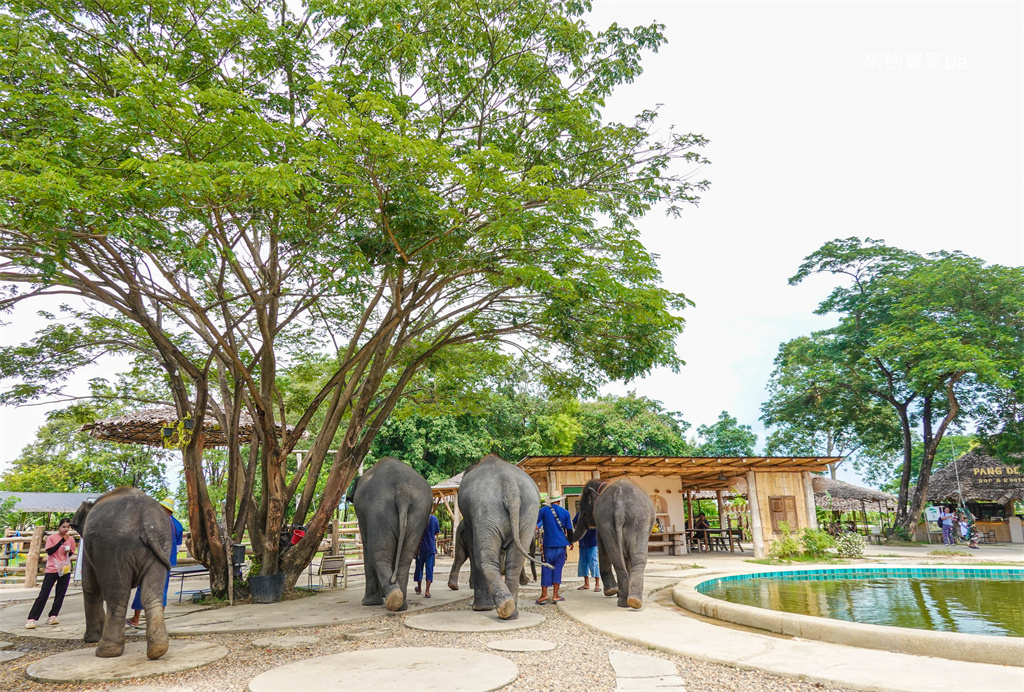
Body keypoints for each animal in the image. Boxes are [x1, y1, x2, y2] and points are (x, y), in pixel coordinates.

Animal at [70, 487, 172, 659]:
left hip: (113, 549)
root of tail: (146, 520)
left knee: (118, 597)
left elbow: (90, 586)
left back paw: (106, 652)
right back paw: (157, 650)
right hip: (162, 542)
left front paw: (91, 639)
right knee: (151, 595)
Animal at [352, 457, 432, 612]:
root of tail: (402, 488)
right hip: (420, 510)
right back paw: (399, 602)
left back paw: (393, 598)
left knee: (379, 555)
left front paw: (369, 603)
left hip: (379, 510)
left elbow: (366, 545)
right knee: (405, 558)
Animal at [447, 454, 546, 619]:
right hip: (520, 514)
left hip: (495, 511)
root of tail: (511, 489)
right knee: (513, 559)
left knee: (486, 557)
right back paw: (509, 610)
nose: (534, 580)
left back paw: (500, 607)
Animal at [570, 478, 655, 609]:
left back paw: (627, 600)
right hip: (633, 520)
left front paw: (611, 592)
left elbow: (603, 549)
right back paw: (630, 601)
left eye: (583, 511)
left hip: (625, 519)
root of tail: (620, 506)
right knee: (630, 558)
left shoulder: (600, 524)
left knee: (618, 556)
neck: (603, 483)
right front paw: (614, 592)